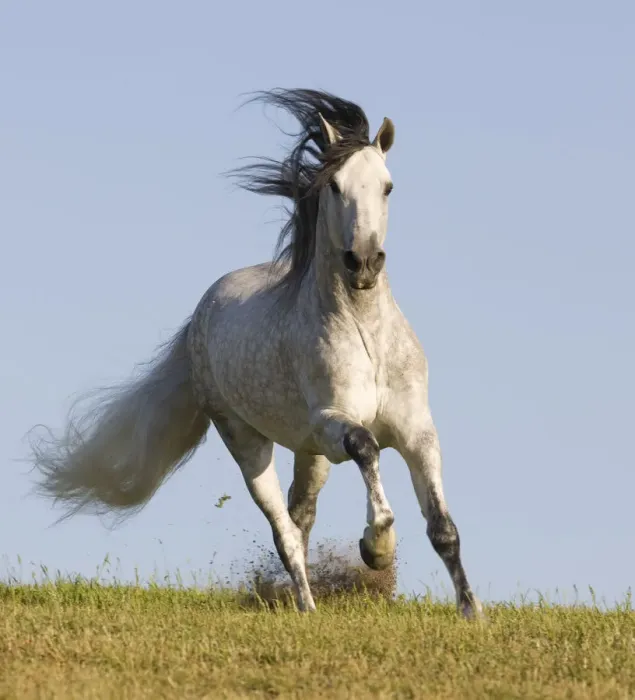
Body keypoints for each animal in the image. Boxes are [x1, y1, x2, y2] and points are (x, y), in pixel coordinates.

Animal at [30, 88, 482, 617]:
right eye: (334, 186)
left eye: (388, 187)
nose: (364, 262)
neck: (366, 335)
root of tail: (202, 314)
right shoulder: (333, 422)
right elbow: (367, 449)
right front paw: (377, 548)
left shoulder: (416, 431)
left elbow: (443, 527)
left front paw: (471, 611)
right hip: (248, 441)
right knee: (283, 529)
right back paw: (306, 606)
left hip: (309, 452)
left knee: (299, 515)